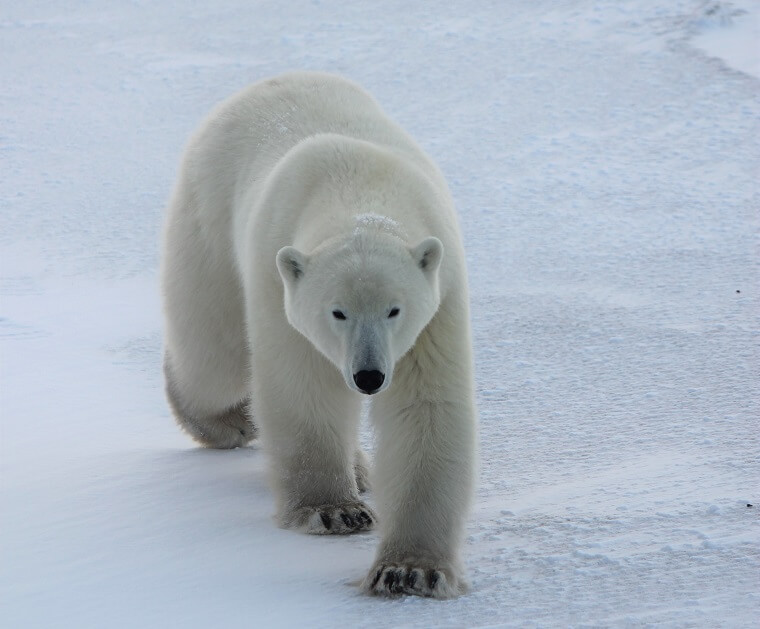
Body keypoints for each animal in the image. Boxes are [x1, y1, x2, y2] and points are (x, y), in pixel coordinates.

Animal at [162, 71, 476, 596]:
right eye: (337, 312)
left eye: (395, 310)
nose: (369, 376)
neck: (359, 187)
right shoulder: (280, 278)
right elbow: (303, 388)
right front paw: (333, 511)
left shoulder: (440, 299)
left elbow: (426, 405)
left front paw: (411, 570)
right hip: (209, 219)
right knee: (216, 354)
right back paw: (225, 419)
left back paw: (361, 467)